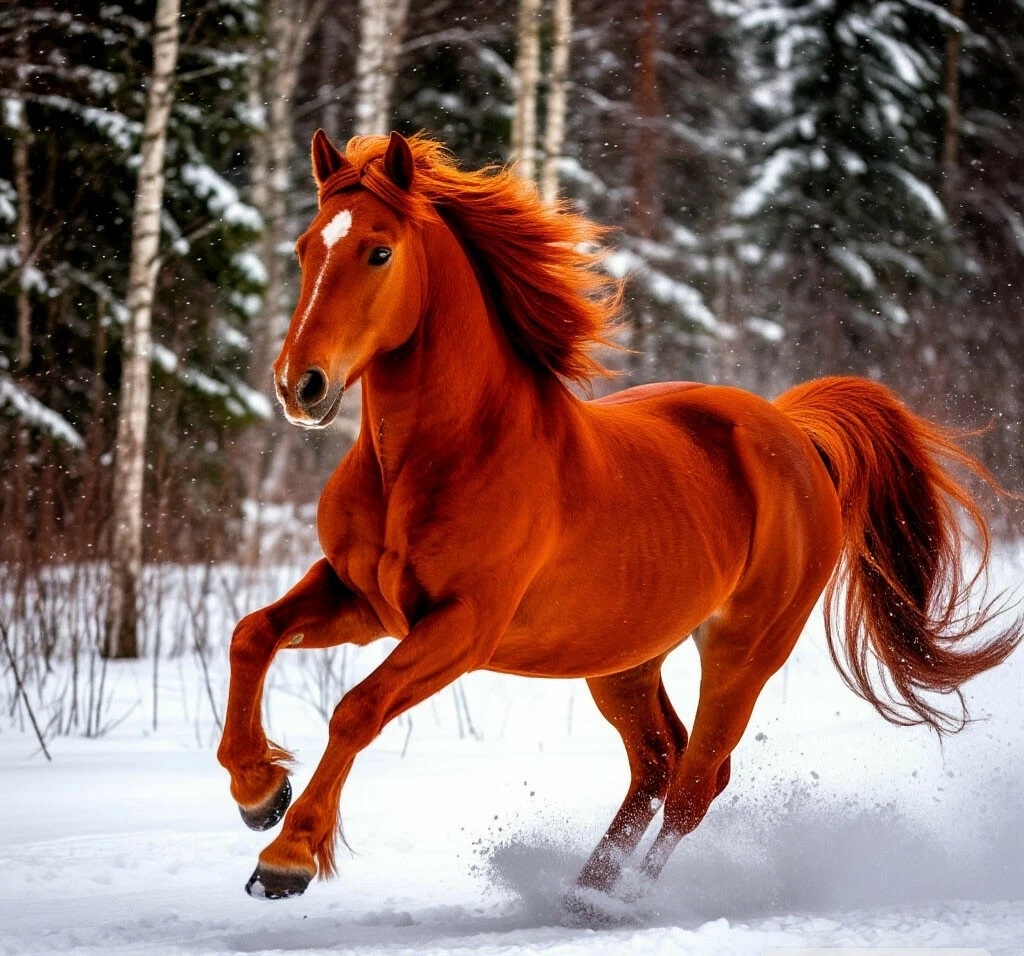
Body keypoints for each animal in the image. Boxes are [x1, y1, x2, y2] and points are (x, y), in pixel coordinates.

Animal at [217, 129, 1021, 906]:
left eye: (379, 251)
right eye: (305, 247)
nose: (298, 385)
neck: (433, 459)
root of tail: (794, 433)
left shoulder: (462, 626)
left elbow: (357, 708)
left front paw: (286, 857)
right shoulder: (363, 599)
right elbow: (251, 635)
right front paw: (259, 790)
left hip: (744, 649)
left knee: (697, 783)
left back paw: (618, 901)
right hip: (626, 658)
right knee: (659, 762)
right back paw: (584, 890)